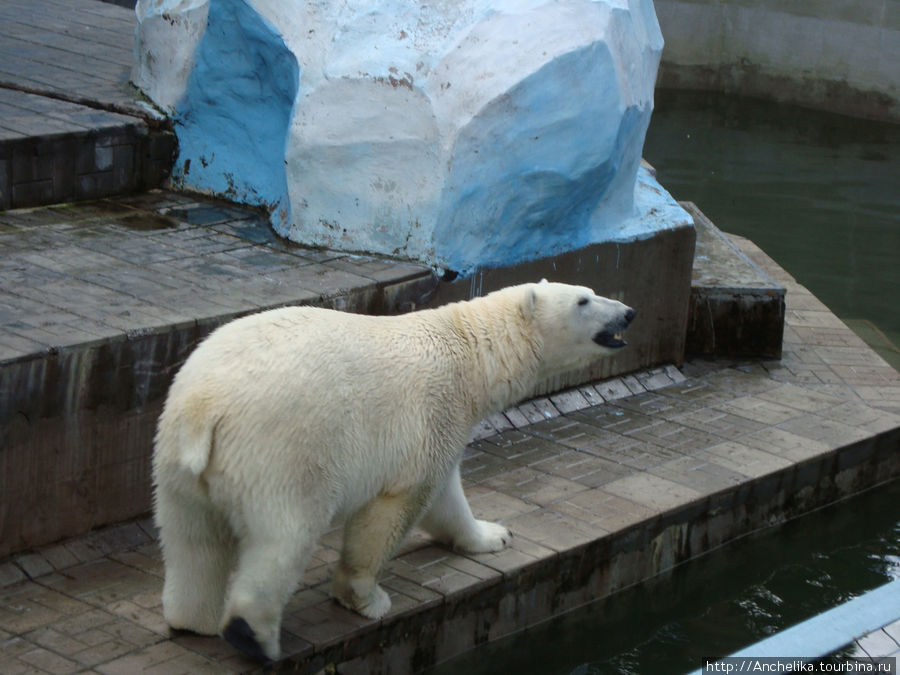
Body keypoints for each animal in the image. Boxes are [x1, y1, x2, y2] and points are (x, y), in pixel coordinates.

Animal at [153, 278, 632, 660]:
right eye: (584, 300)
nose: (628, 313)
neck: (470, 351)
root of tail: (204, 405)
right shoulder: (430, 414)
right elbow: (399, 506)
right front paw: (365, 598)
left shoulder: (442, 425)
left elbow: (447, 499)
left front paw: (493, 535)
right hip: (283, 450)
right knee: (284, 537)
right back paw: (252, 636)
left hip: (176, 456)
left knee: (192, 539)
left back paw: (192, 619)